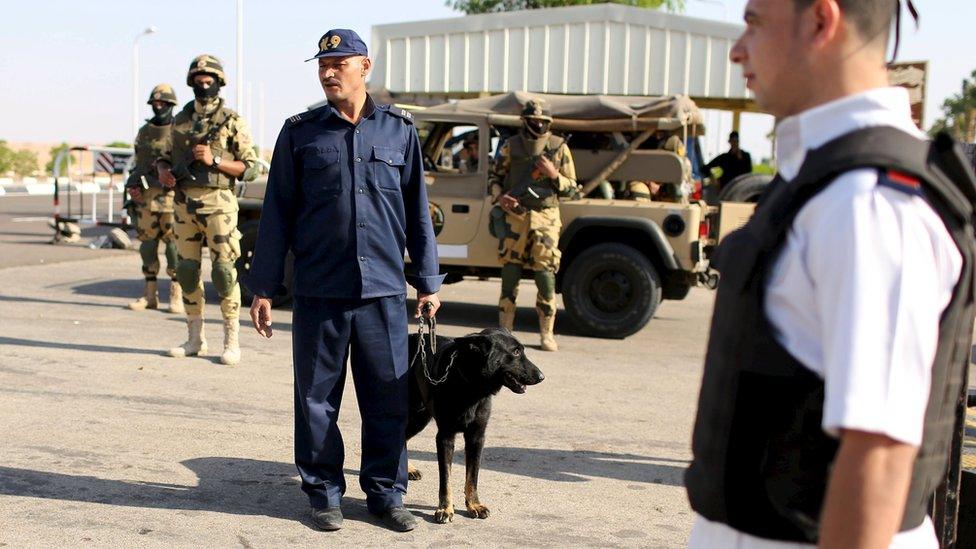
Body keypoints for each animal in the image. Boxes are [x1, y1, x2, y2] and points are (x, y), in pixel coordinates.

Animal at [402, 326, 540, 524]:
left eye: (522, 350)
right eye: (515, 352)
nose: (542, 377)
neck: (471, 386)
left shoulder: (477, 437)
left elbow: (472, 476)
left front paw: (474, 504)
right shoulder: (445, 437)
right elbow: (446, 479)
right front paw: (445, 508)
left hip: (421, 417)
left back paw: (408, 469)